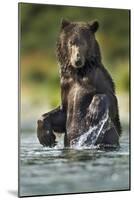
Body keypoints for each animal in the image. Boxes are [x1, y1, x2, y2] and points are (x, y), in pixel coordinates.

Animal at [36, 19, 121, 148]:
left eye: (84, 43)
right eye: (71, 42)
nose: (77, 59)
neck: (78, 73)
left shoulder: (98, 77)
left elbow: (111, 101)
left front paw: (93, 112)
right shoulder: (66, 85)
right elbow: (62, 114)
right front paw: (47, 137)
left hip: (108, 136)